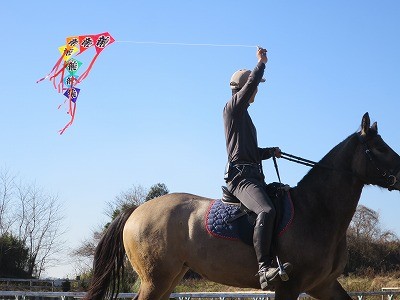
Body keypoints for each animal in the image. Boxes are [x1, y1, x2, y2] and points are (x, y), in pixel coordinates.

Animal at [84, 113, 400, 300]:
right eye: (381, 148)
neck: (316, 211)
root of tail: (136, 211)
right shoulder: (290, 286)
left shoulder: (324, 285)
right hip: (155, 280)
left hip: (169, 279)